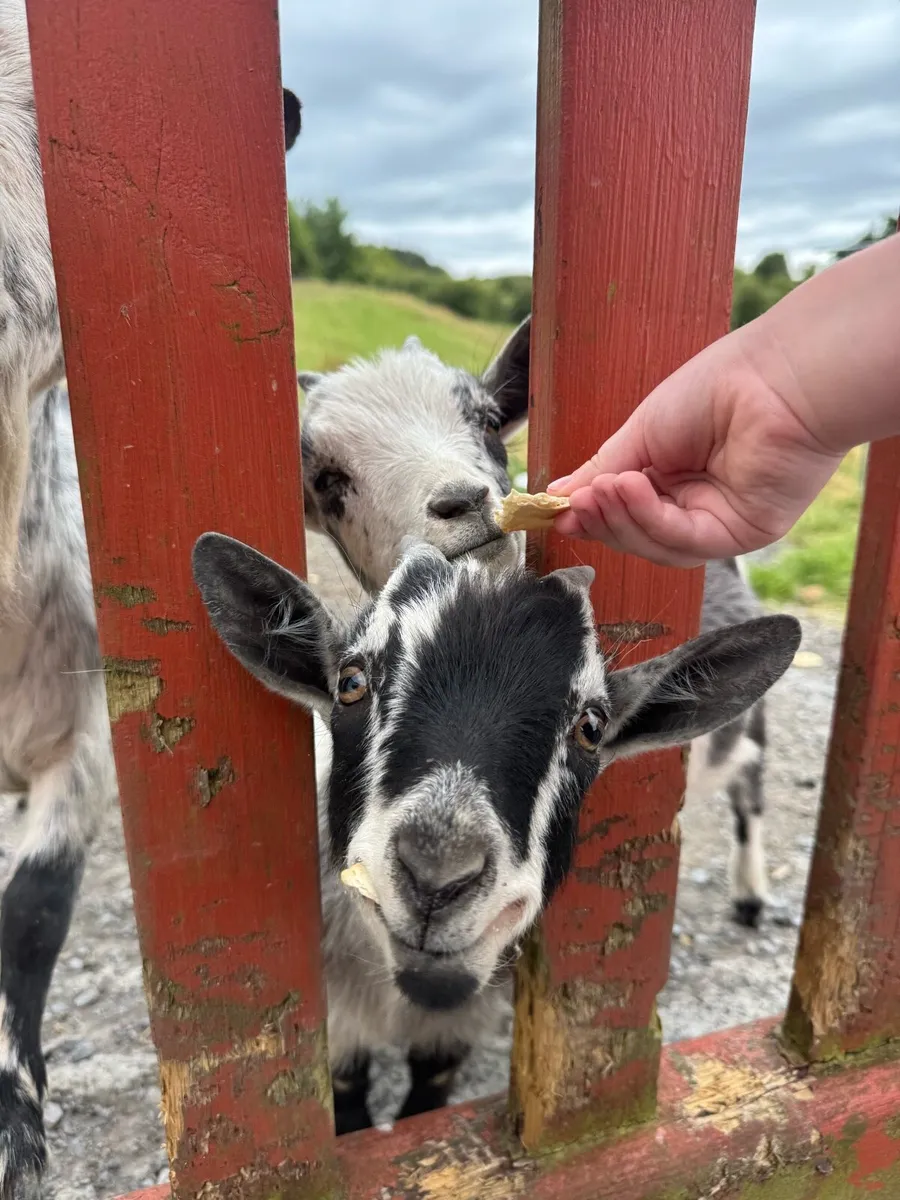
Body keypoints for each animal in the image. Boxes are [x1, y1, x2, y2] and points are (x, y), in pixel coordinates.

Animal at [193, 531, 801, 1134]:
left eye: (591, 727)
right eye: (351, 684)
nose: (437, 881)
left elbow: (429, 1092)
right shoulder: (341, 1028)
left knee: (750, 793)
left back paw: (751, 896)